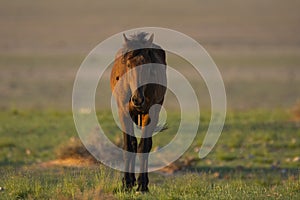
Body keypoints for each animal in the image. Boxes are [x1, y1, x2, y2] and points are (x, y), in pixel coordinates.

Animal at [109, 32, 166, 192]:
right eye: (128, 65)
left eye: (148, 65)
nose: (137, 100)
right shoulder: (123, 112)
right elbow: (128, 146)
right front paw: (127, 183)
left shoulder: (150, 113)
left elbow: (143, 147)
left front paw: (142, 184)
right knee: (132, 144)